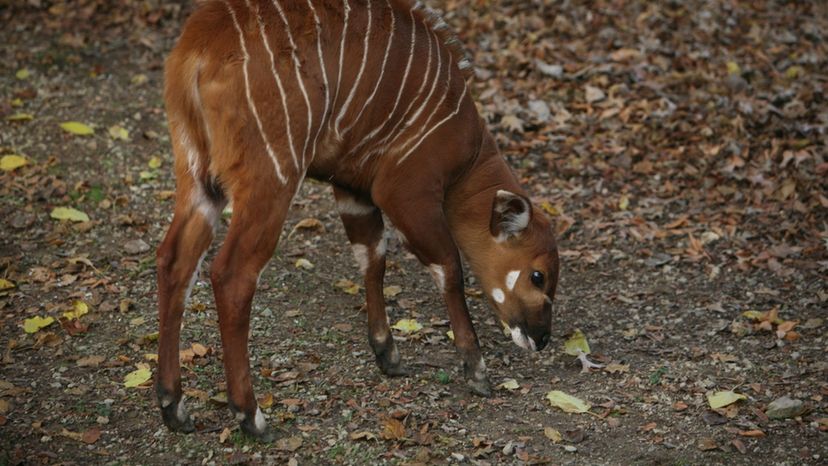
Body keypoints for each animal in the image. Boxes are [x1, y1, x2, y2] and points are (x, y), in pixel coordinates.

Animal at [157, 0, 556, 440]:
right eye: (538, 276)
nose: (542, 338)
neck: (466, 151)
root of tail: (196, 51)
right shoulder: (404, 191)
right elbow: (448, 267)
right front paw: (476, 370)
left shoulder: (353, 190)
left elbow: (372, 258)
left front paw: (388, 353)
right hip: (272, 176)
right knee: (231, 275)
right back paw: (251, 415)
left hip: (198, 176)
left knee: (174, 260)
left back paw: (173, 406)